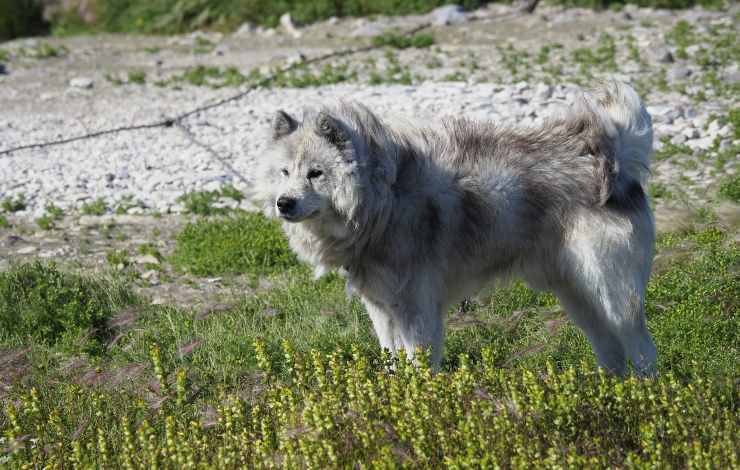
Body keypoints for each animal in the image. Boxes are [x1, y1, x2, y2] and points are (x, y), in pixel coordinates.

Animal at [251, 79, 656, 376]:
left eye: (315, 173)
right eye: (284, 173)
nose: (283, 203)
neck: (383, 200)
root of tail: (613, 157)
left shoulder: (416, 310)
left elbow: (418, 367)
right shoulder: (382, 311)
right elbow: (392, 363)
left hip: (611, 294)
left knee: (642, 350)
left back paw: (646, 398)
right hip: (577, 295)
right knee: (611, 350)